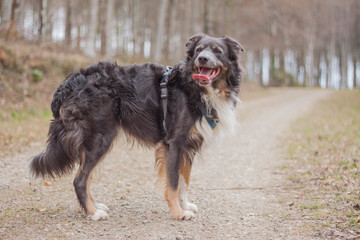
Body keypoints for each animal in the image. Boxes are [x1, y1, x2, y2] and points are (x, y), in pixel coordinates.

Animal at [29, 32, 246, 220]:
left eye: (217, 51)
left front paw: (185, 205)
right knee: (80, 180)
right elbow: (173, 182)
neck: (195, 88)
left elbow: (184, 181)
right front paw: (178, 212)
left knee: (85, 177)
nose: (202, 59)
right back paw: (93, 213)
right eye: (199, 50)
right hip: (101, 138)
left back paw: (95, 206)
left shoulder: (188, 146)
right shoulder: (174, 143)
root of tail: (71, 82)